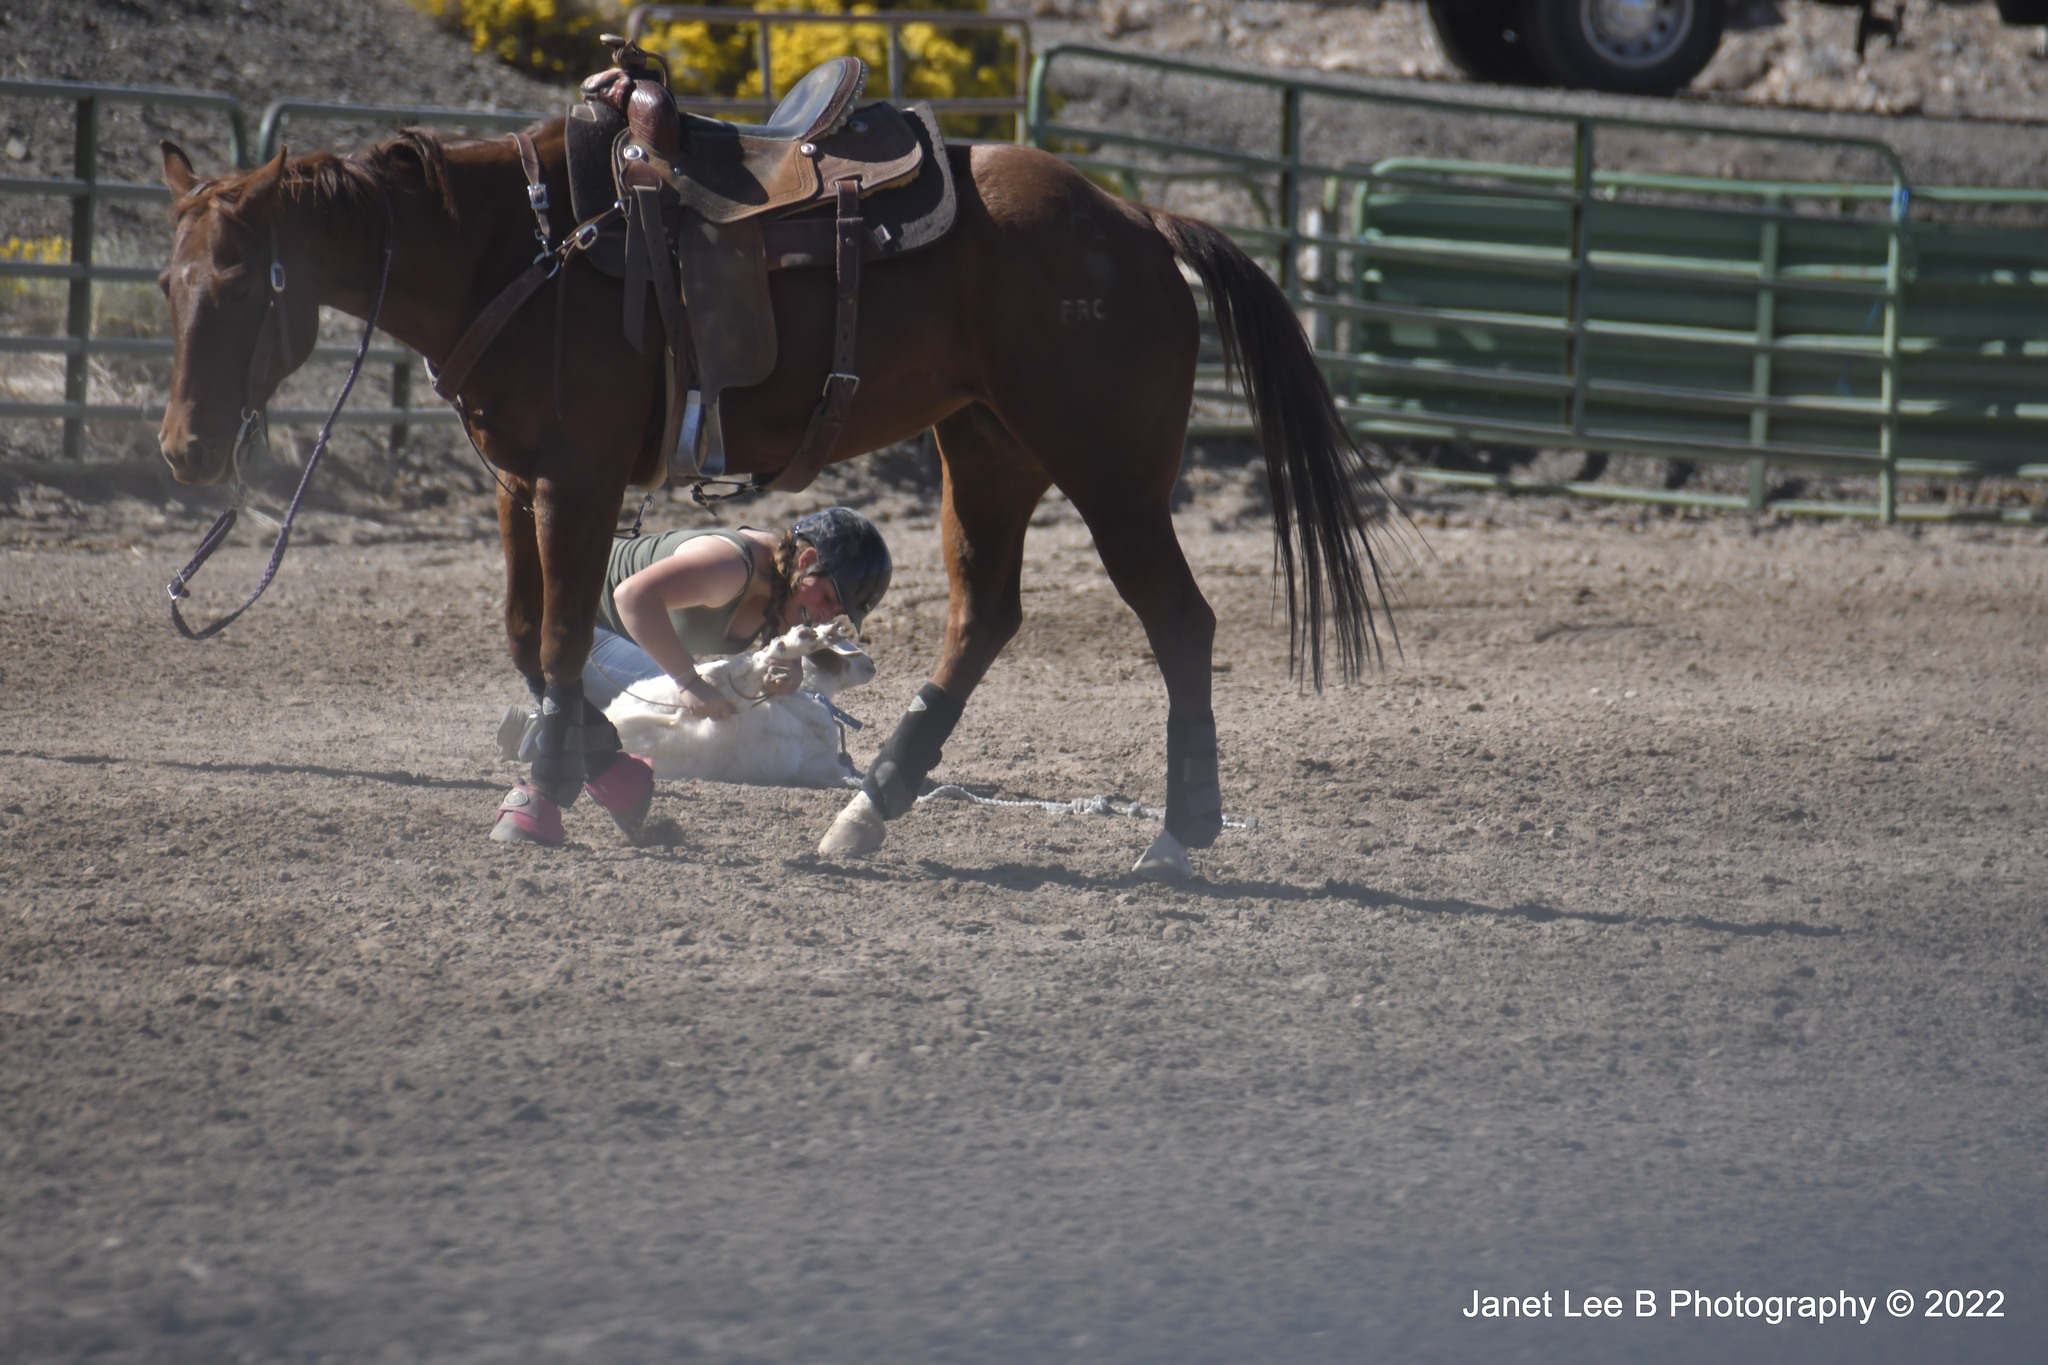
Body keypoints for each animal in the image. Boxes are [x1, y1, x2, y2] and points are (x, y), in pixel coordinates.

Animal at [598, 618, 872, 789]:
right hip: (674, 694)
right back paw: (798, 642)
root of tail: (614, 721)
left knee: (739, 682)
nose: (872, 665)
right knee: (735, 670)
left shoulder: (822, 768)